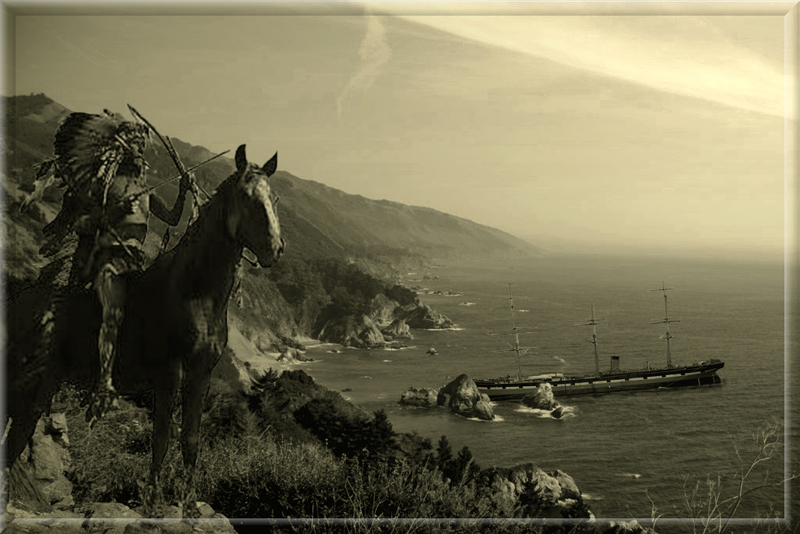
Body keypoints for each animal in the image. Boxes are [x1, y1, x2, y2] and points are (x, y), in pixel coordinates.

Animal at [2, 143, 284, 520]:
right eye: (246, 196)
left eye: (274, 198)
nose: (275, 249)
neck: (195, 293)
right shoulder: (169, 373)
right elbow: (161, 436)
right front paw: (152, 504)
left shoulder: (201, 374)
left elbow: (191, 439)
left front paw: (190, 507)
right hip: (30, 383)